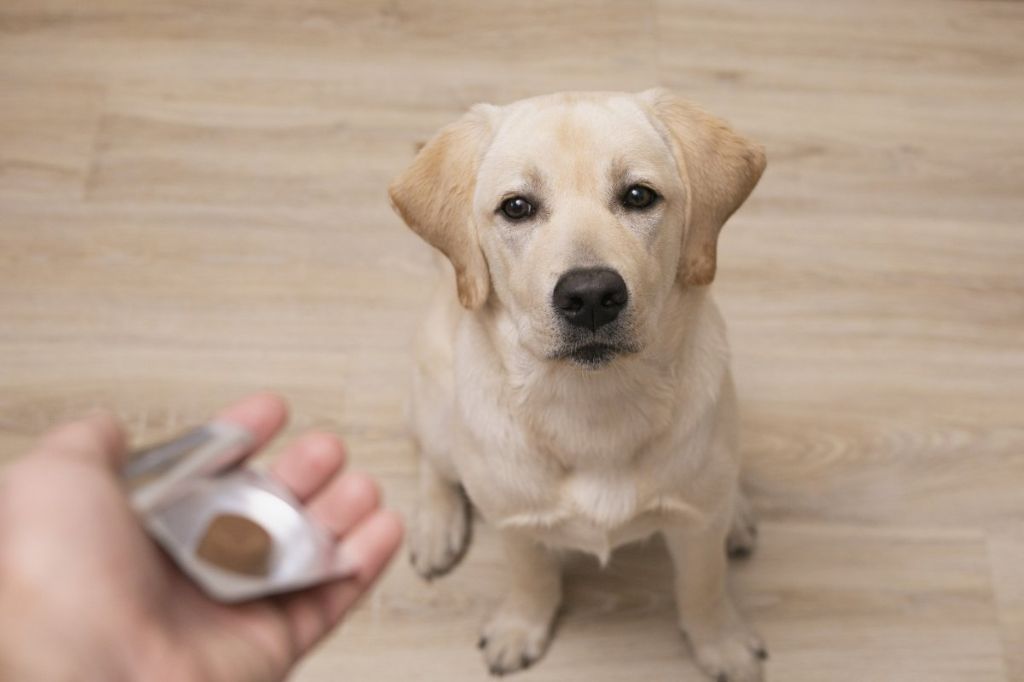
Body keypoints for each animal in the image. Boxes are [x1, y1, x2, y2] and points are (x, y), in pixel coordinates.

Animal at [387, 90, 765, 679]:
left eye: (638, 196)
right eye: (516, 207)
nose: (590, 295)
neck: (595, 406)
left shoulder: (696, 527)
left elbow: (703, 587)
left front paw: (720, 642)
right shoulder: (516, 523)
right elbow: (532, 579)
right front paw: (520, 626)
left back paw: (739, 513)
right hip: (436, 408)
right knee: (435, 461)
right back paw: (434, 525)